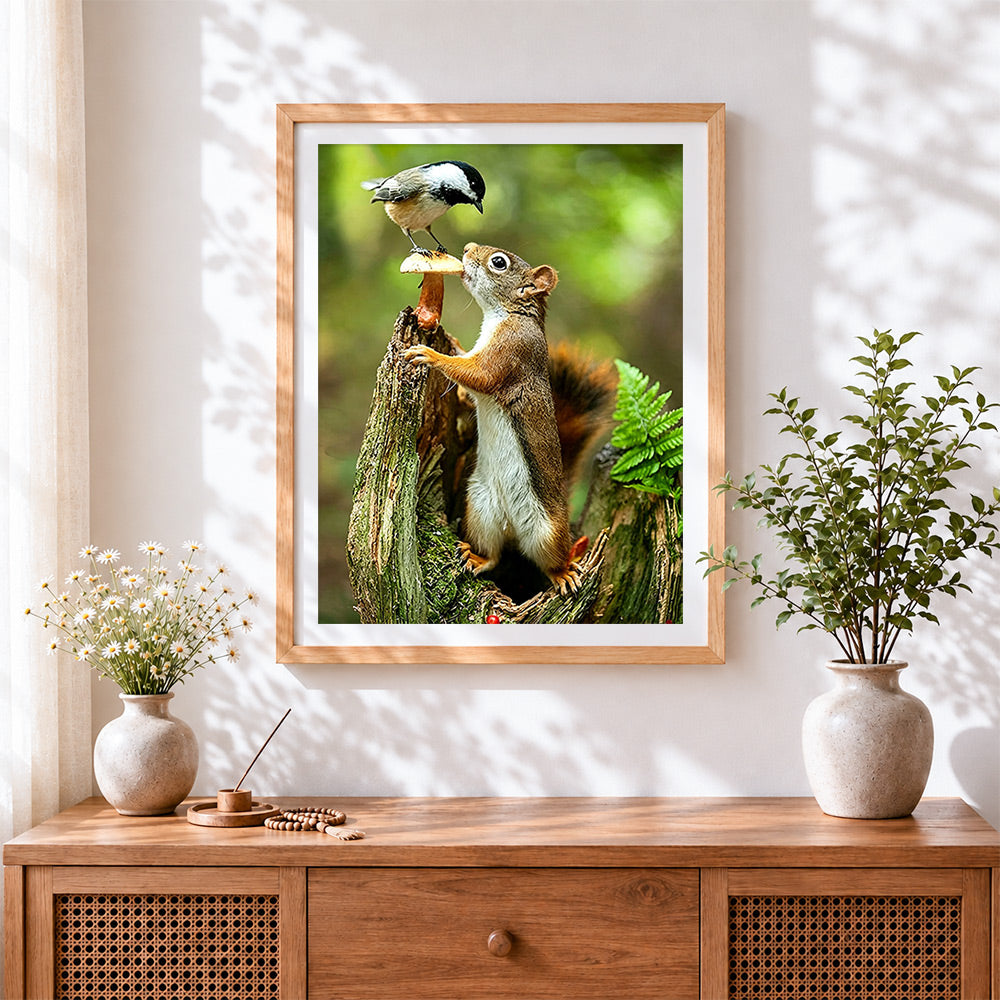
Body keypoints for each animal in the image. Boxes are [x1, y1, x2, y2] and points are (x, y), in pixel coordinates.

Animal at [405, 242, 616, 594]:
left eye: (499, 262)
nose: (467, 249)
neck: (506, 315)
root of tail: (513, 529)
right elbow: (467, 372)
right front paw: (453, 346)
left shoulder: (510, 351)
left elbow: (477, 375)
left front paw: (430, 354)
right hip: (480, 509)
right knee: (494, 555)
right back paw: (476, 557)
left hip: (547, 532)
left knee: (550, 561)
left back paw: (564, 573)